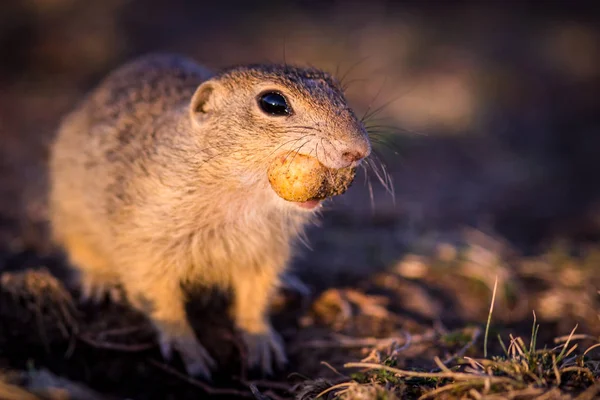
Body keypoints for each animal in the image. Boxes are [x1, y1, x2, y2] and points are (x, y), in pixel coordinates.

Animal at [49, 54, 370, 378]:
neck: (244, 195)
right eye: (272, 103)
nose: (359, 150)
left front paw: (262, 343)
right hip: (71, 216)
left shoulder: (265, 253)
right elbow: (161, 302)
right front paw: (188, 352)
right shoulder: (144, 245)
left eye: (335, 86)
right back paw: (99, 281)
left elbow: (255, 299)